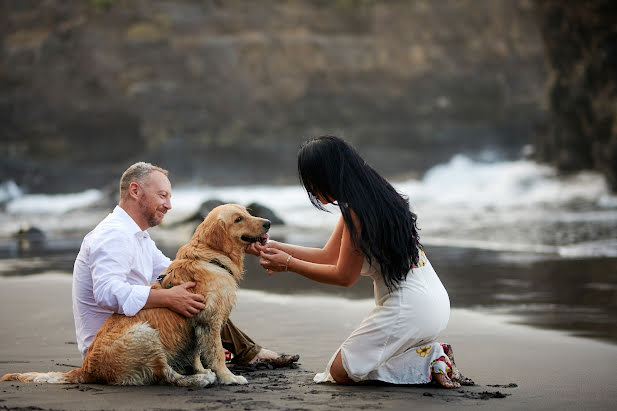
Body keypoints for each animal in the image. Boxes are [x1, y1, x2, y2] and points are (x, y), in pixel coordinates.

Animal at [1, 204, 270, 388]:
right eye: (238, 219)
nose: (267, 222)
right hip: (145, 334)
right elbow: (216, 355)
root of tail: (86, 369)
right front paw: (229, 377)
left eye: (248, 212)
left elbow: (197, 355)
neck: (212, 258)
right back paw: (197, 381)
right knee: (165, 375)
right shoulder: (209, 320)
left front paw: (201, 370)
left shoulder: (195, 325)